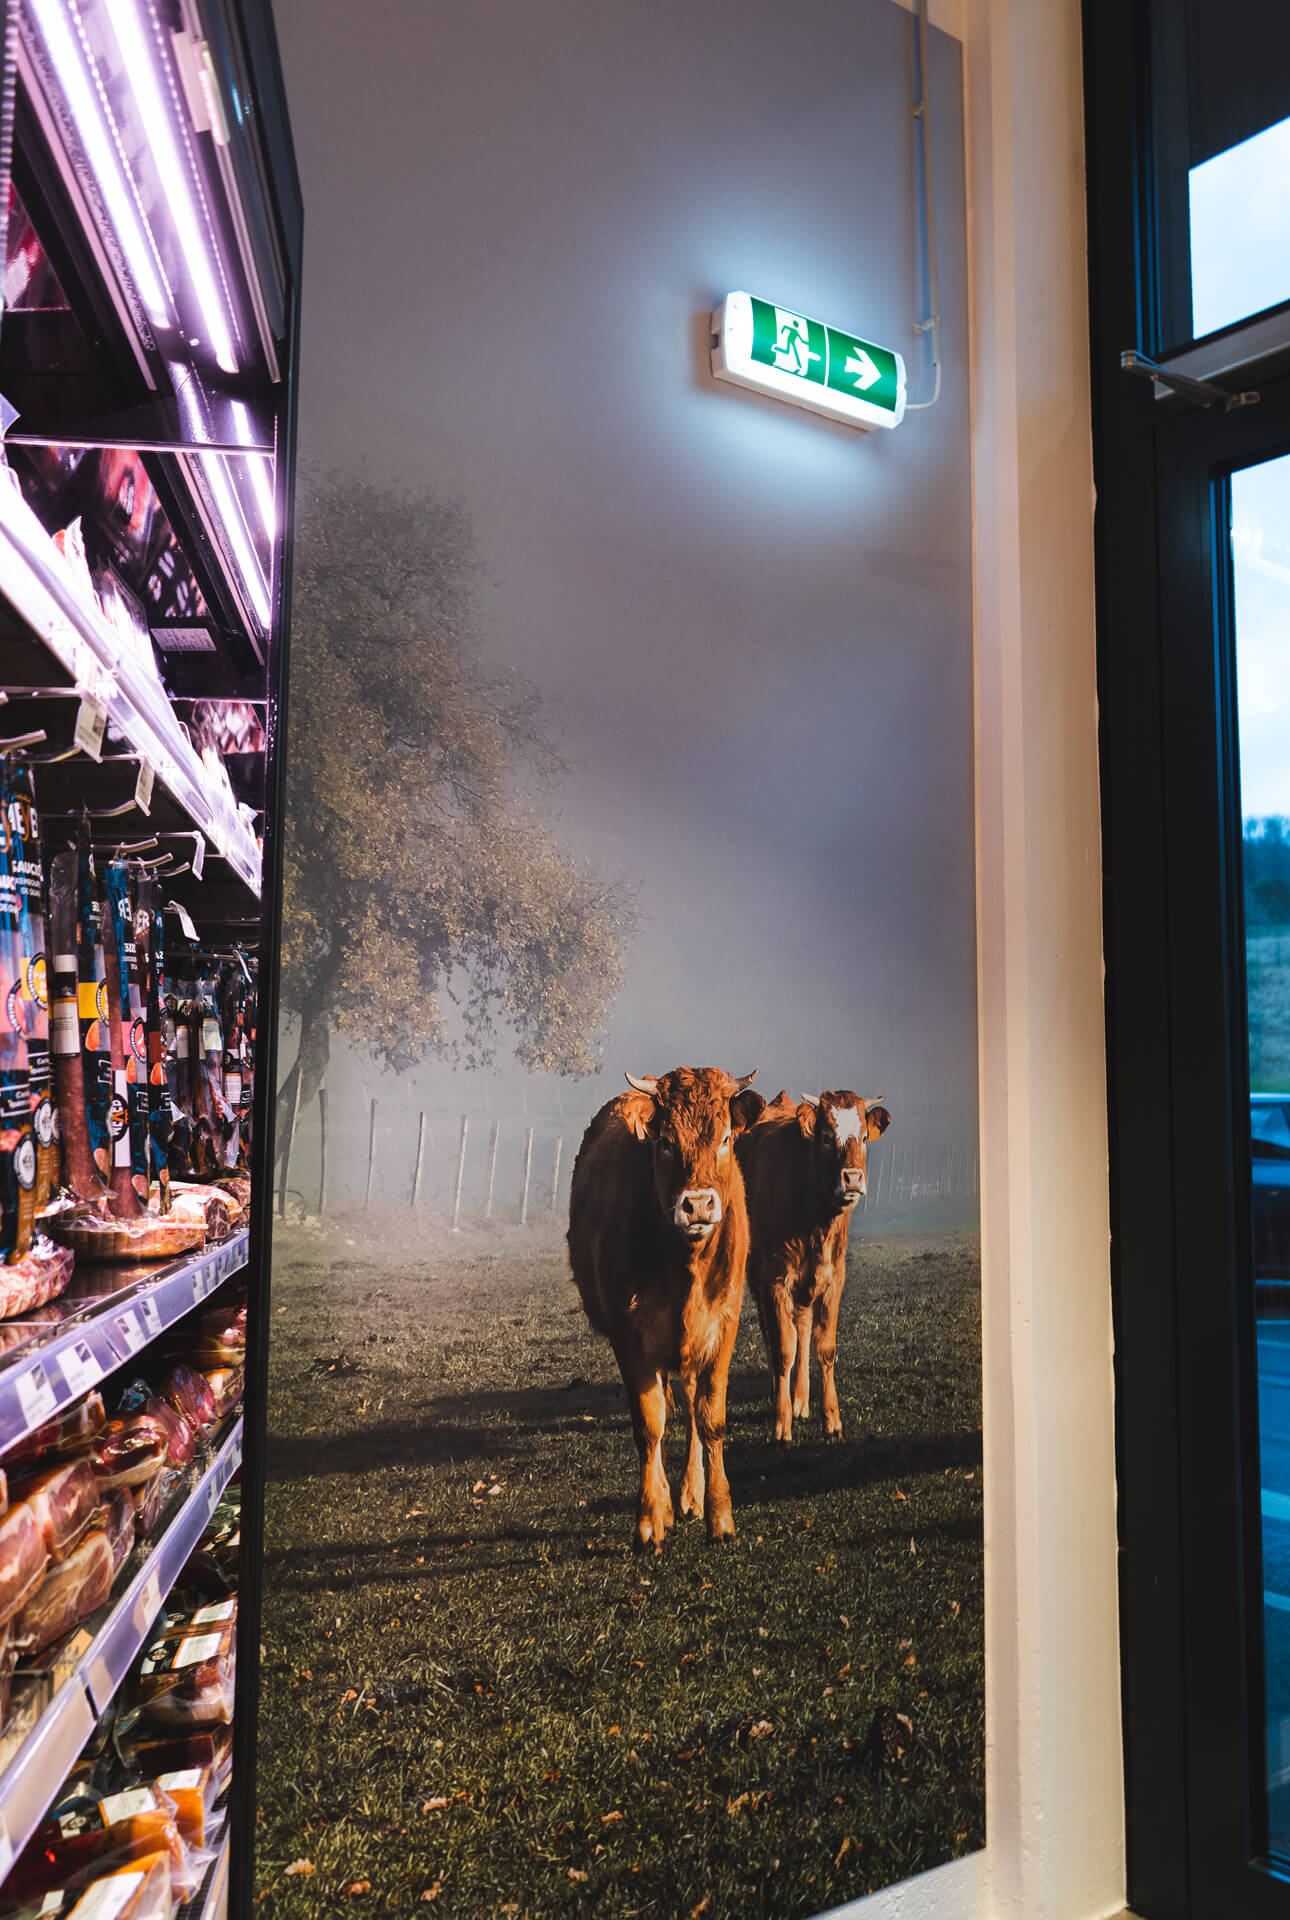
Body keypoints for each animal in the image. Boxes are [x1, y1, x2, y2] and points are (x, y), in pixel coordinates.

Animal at [568, 1067, 767, 1543]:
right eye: (665, 1142)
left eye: (726, 1137)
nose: (697, 1204)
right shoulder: (628, 1337)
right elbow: (649, 1424)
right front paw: (650, 1518)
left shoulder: (723, 1326)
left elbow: (711, 1418)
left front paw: (720, 1516)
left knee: (693, 1408)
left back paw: (692, 1496)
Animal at [740, 1090, 890, 1443]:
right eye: (825, 1137)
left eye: (864, 1137)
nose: (852, 1177)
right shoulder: (774, 1280)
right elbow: (783, 1349)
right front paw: (781, 1424)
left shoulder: (833, 1278)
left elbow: (824, 1348)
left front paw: (831, 1418)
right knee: (775, 1336)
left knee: (803, 1328)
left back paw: (800, 1399)